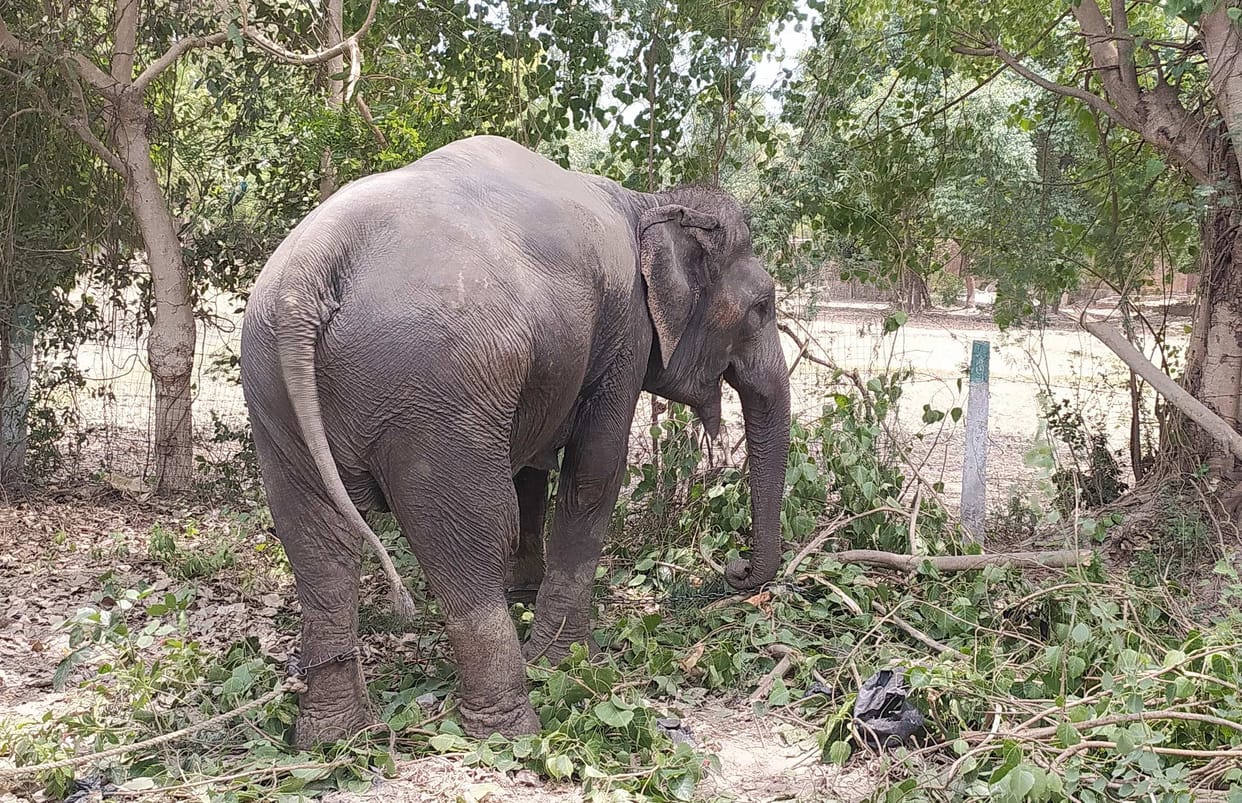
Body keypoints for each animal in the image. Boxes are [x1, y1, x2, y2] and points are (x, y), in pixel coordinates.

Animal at [239, 135, 791, 747]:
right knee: (470, 534)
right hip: (437, 393)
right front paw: (570, 659)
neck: (647, 202)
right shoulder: (624, 328)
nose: (736, 571)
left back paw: (335, 737)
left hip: (275, 394)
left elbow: (533, 470)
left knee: (316, 544)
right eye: (762, 307)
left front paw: (528, 599)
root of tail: (312, 269)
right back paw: (509, 730)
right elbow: (595, 473)